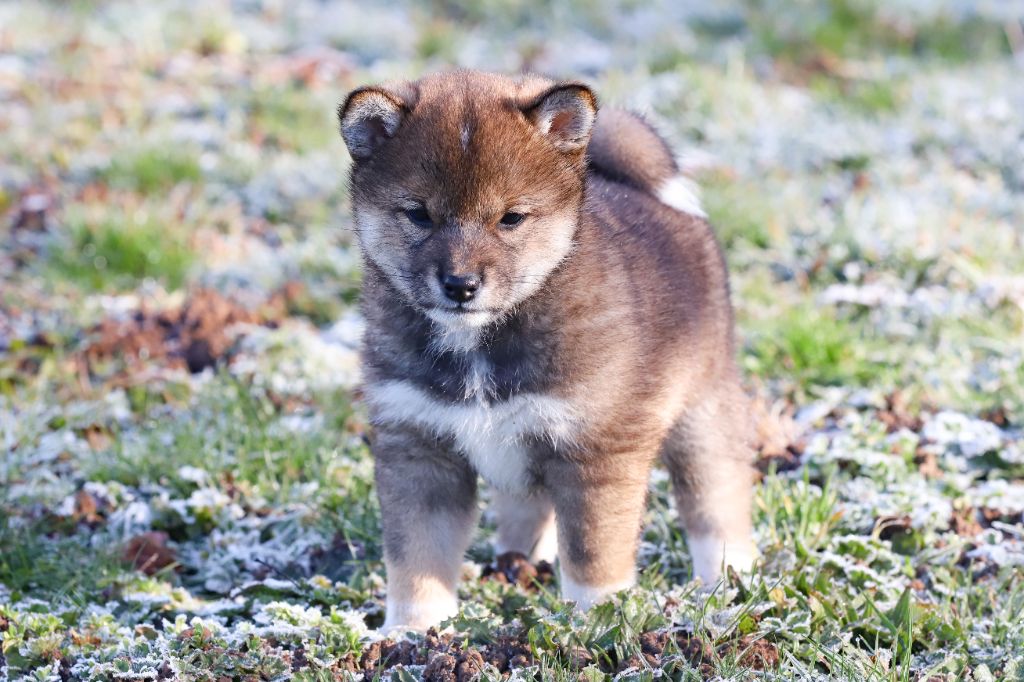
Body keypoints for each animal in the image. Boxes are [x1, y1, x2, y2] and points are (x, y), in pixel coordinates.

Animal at [337, 70, 756, 632]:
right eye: (418, 214)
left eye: (511, 218)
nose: (461, 285)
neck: (480, 343)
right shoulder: (419, 448)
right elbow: (417, 557)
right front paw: (413, 631)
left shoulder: (594, 452)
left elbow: (591, 554)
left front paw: (596, 621)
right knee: (527, 511)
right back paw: (516, 567)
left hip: (702, 414)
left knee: (717, 501)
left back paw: (730, 582)